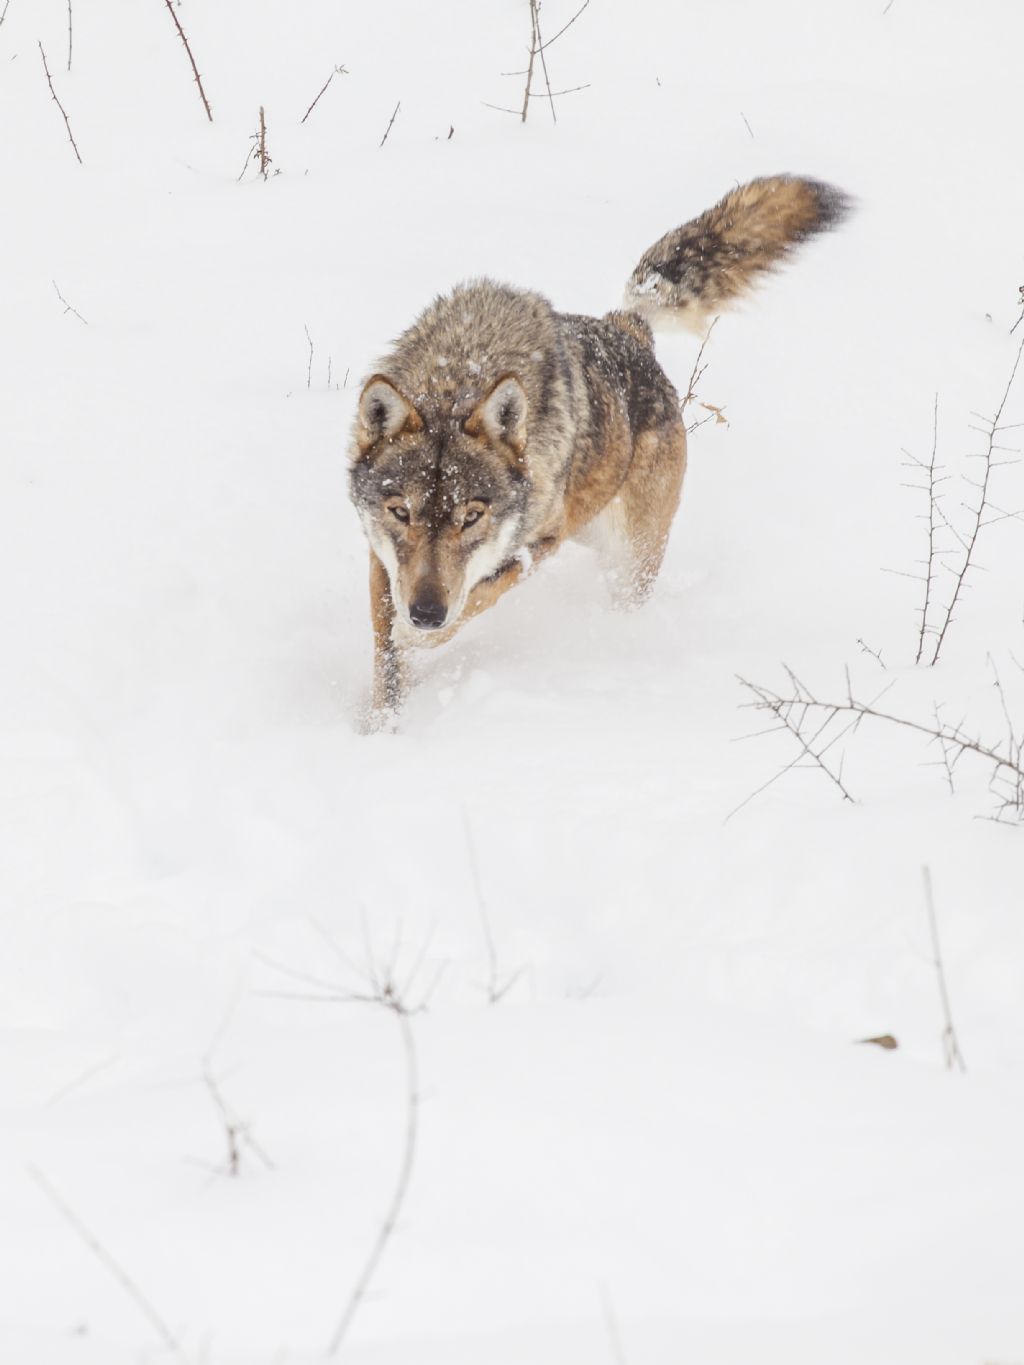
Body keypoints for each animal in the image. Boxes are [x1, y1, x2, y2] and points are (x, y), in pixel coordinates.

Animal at [352, 176, 851, 726]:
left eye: (472, 516)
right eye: (401, 512)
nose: (425, 612)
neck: (460, 375)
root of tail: (628, 327)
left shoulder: (537, 545)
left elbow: (475, 600)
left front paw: (421, 640)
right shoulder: (381, 556)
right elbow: (385, 656)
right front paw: (381, 727)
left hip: (630, 562)